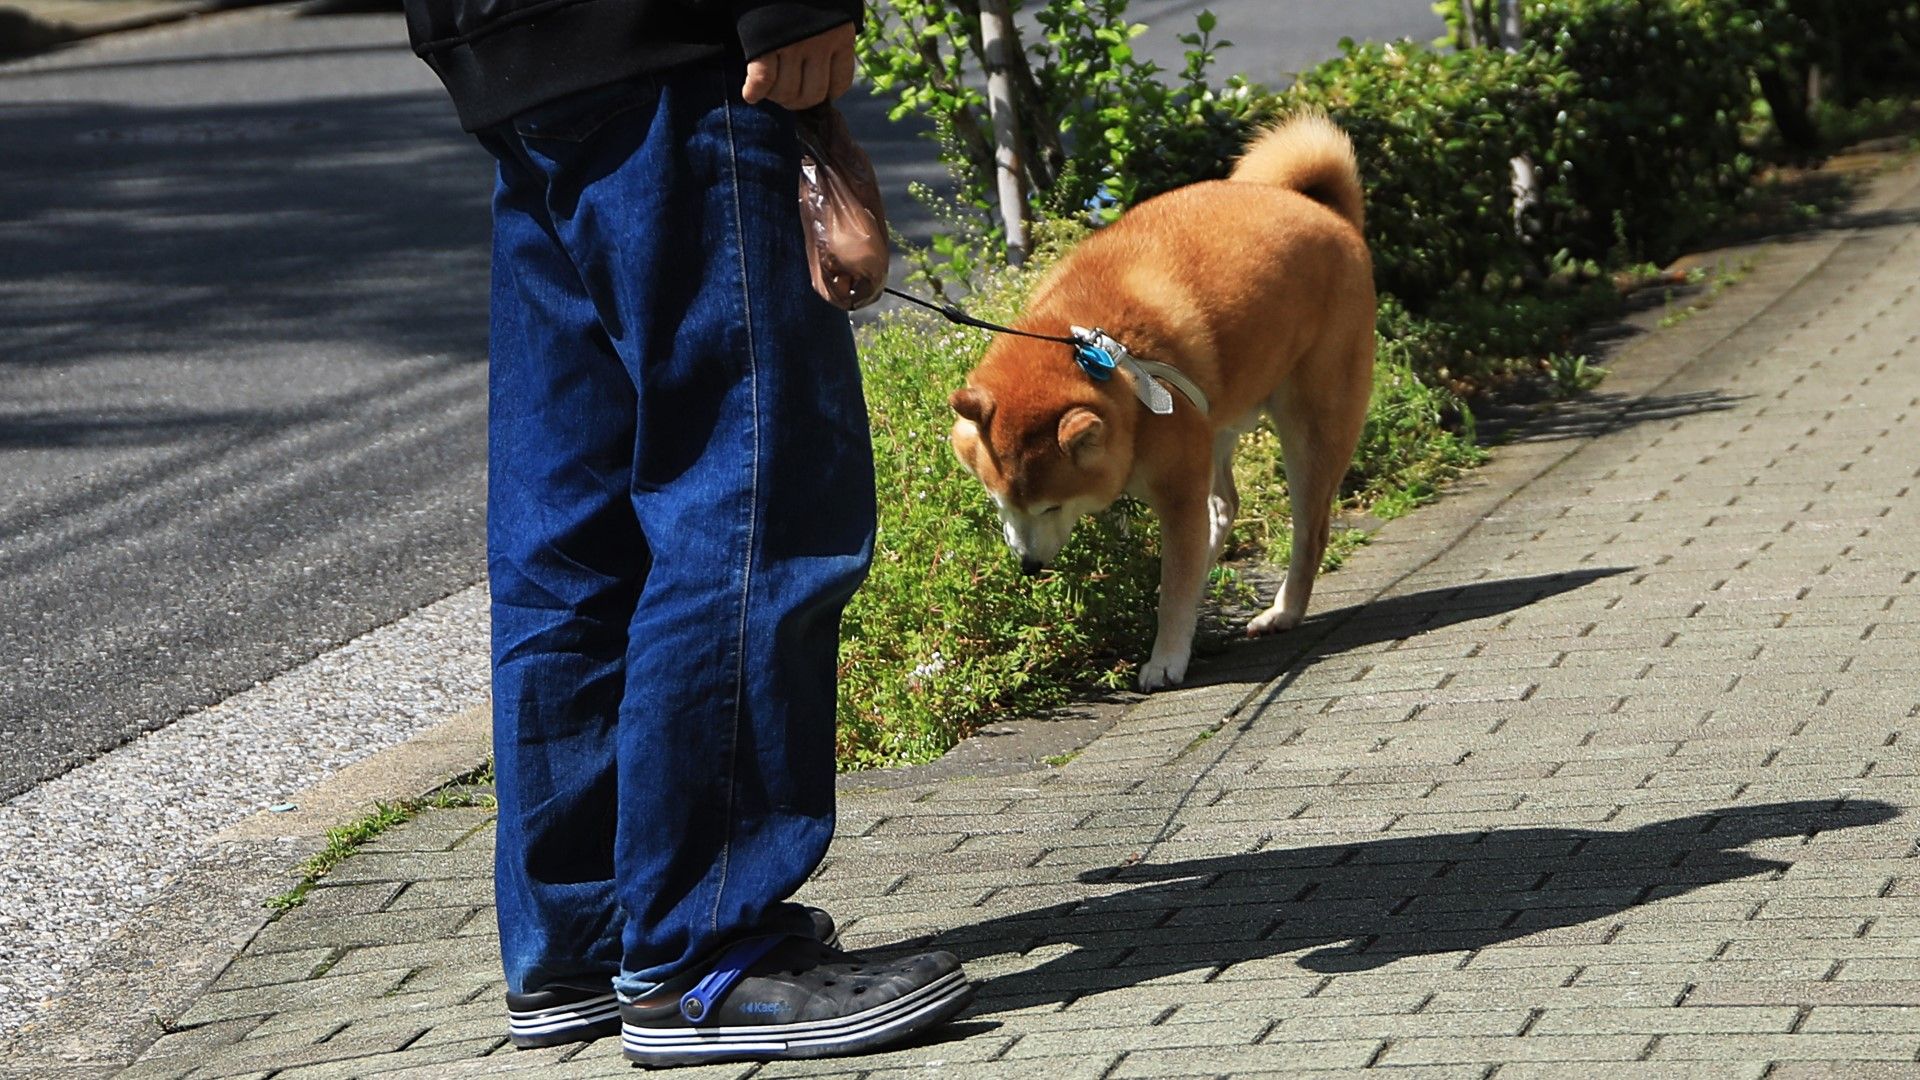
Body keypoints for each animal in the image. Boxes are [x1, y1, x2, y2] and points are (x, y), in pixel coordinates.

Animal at [948, 113, 1374, 687]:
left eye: (1051, 506)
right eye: (1001, 504)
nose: (1030, 568)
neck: (1103, 358)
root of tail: (1327, 212)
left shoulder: (1177, 490)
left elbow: (1174, 587)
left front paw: (1166, 656)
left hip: (1309, 424)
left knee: (1309, 529)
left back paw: (1283, 611)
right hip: (1215, 426)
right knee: (1224, 506)